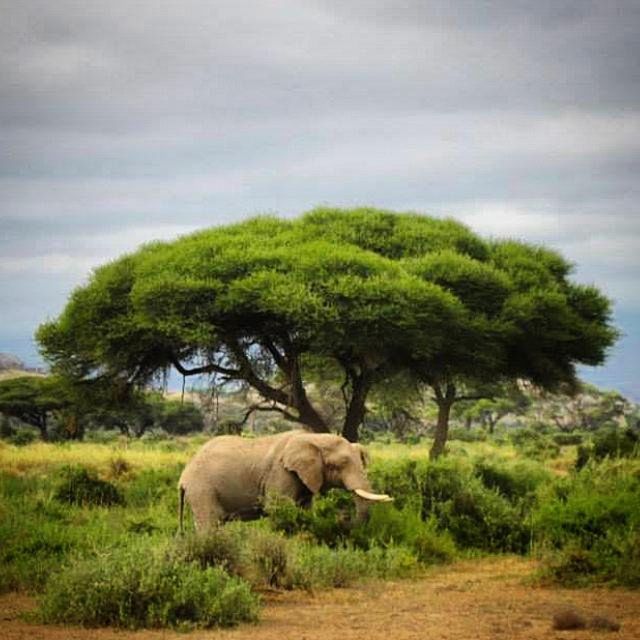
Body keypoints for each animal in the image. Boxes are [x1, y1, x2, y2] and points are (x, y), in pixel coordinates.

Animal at [178, 430, 392, 528]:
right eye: (339, 465)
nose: (343, 519)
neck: (313, 438)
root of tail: (183, 478)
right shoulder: (281, 473)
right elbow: (277, 508)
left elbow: (305, 509)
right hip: (202, 489)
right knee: (210, 522)